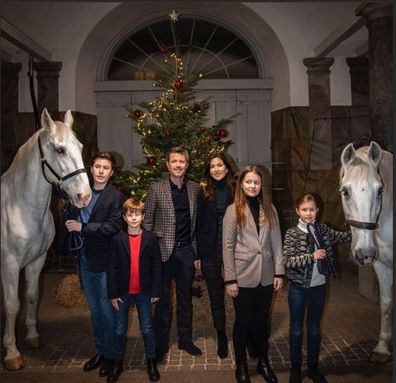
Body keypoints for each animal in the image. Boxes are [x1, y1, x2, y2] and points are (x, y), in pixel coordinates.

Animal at [1, 109, 92, 372]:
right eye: (59, 149)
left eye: (80, 147)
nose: (85, 196)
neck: (20, 207)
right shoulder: (10, 264)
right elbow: (12, 304)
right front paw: (12, 353)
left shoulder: (38, 260)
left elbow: (31, 295)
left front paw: (33, 336)